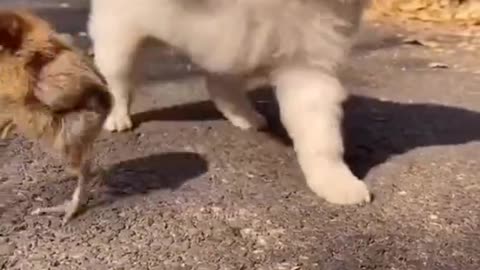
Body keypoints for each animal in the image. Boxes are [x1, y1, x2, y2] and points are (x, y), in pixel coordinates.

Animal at [87, 0, 372, 204]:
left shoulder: (309, 63)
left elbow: (321, 136)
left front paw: (335, 181)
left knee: (221, 84)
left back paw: (244, 116)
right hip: (121, 36)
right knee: (117, 80)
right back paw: (117, 115)